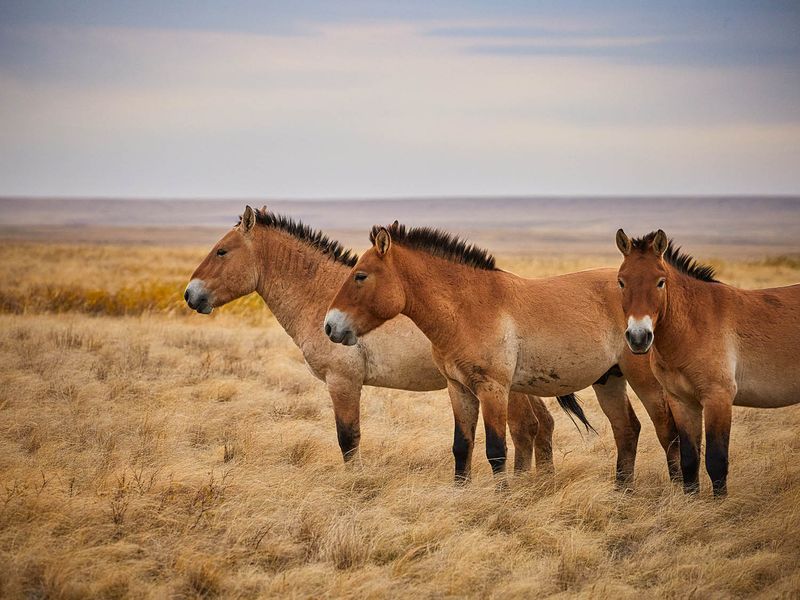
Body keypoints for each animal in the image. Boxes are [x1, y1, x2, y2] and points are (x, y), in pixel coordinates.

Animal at [185, 206, 560, 474]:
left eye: (221, 252)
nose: (190, 295)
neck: (322, 296)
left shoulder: (343, 382)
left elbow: (348, 439)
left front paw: (356, 485)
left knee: (526, 428)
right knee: (542, 426)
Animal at [324, 223, 680, 486]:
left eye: (360, 275)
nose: (330, 326)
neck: (467, 309)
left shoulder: (493, 389)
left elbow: (496, 449)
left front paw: (502, 499)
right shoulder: (459, 389)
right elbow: (462, 446)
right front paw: (461, 493)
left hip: (645, 381)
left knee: (667, 431)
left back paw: (678, 490)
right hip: (609, 380)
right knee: (627, 430)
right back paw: (622, 491)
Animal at [616, 230, 796, 496]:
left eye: (660, 282)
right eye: (621, 281)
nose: (639, 338)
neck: (695, 324)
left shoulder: (717, 398)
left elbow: (716, 460)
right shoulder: (682, 402)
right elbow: (690, 459)